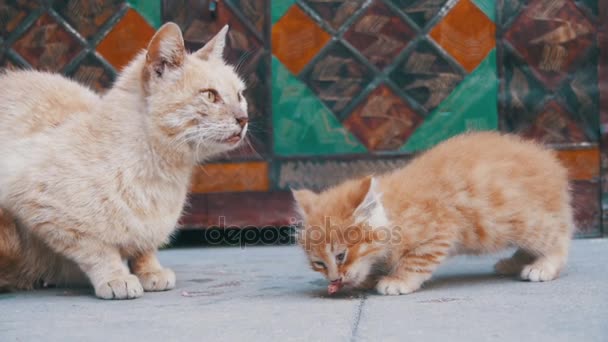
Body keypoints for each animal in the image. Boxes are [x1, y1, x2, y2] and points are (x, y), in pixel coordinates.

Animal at [0, 23, 248, 300]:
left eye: (240, 95)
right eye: (210, 95)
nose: (244, 119)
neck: (163, 173)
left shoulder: (150, 226)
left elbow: (145, 248)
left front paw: (151, 272)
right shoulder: (38, 204)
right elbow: (99, 250)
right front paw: (116, 277)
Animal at [294, 132, 576, 296]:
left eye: (341, 256)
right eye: (319, 263)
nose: (334, 278)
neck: (394, 214)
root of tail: (550, 162)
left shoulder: (439, 231)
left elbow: (416, 260)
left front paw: (397, 280)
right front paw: (370, 277)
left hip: (521, 219)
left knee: (557, 234)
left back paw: (543, 266)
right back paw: (514, 263)